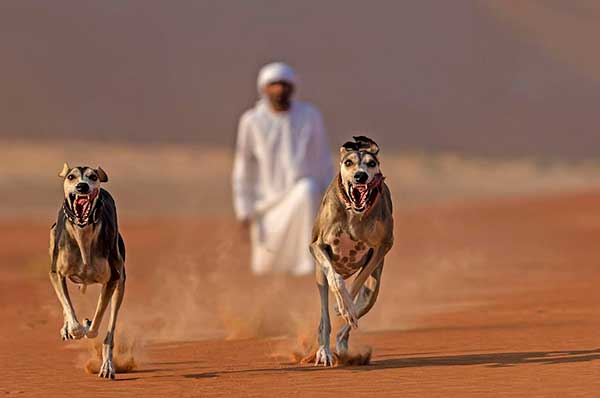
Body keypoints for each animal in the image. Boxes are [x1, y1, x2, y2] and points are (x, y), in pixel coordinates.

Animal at [48, 162, 126, 380]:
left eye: (93, 177)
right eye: (71, 176)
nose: (82, 186)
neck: (83, 235)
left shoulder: (112, 279)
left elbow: (96, 324)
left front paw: (87, 324)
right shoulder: (56, 273)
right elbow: (68, 307)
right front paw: (74, 329)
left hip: (120, 282)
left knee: (110, 328)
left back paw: (107, 366)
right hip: (52, 237)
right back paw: (68, 328)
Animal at [310, 135, 394, 366]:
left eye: (371, 163)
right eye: (348, 162)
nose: (360, 176)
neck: (353, 214)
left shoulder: (384, 245)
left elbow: (357, 282)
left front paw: (345, 306)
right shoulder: (316, 245)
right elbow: (336, 280)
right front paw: (343, 304)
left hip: (372, 292)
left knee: (349, 322)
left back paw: (342, 343)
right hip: (320, 278)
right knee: (324, 319)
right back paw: (324, 352)